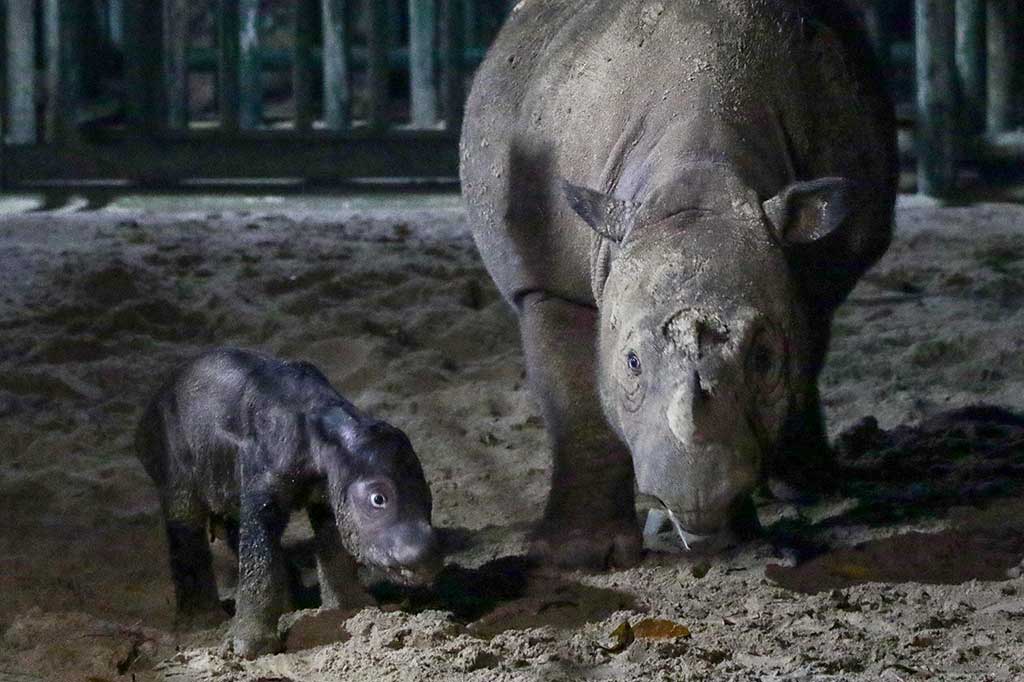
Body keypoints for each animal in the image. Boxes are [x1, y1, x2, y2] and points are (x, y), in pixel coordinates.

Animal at [460, 0, 897, 567]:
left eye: (764, 359)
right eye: (631, 362)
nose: (694, 501)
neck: (698, 179)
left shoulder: (812, 267)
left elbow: (798, 357)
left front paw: (735, 533)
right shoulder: (548, 280)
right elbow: (576, 404)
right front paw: (580, 556)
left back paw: (810, 489)